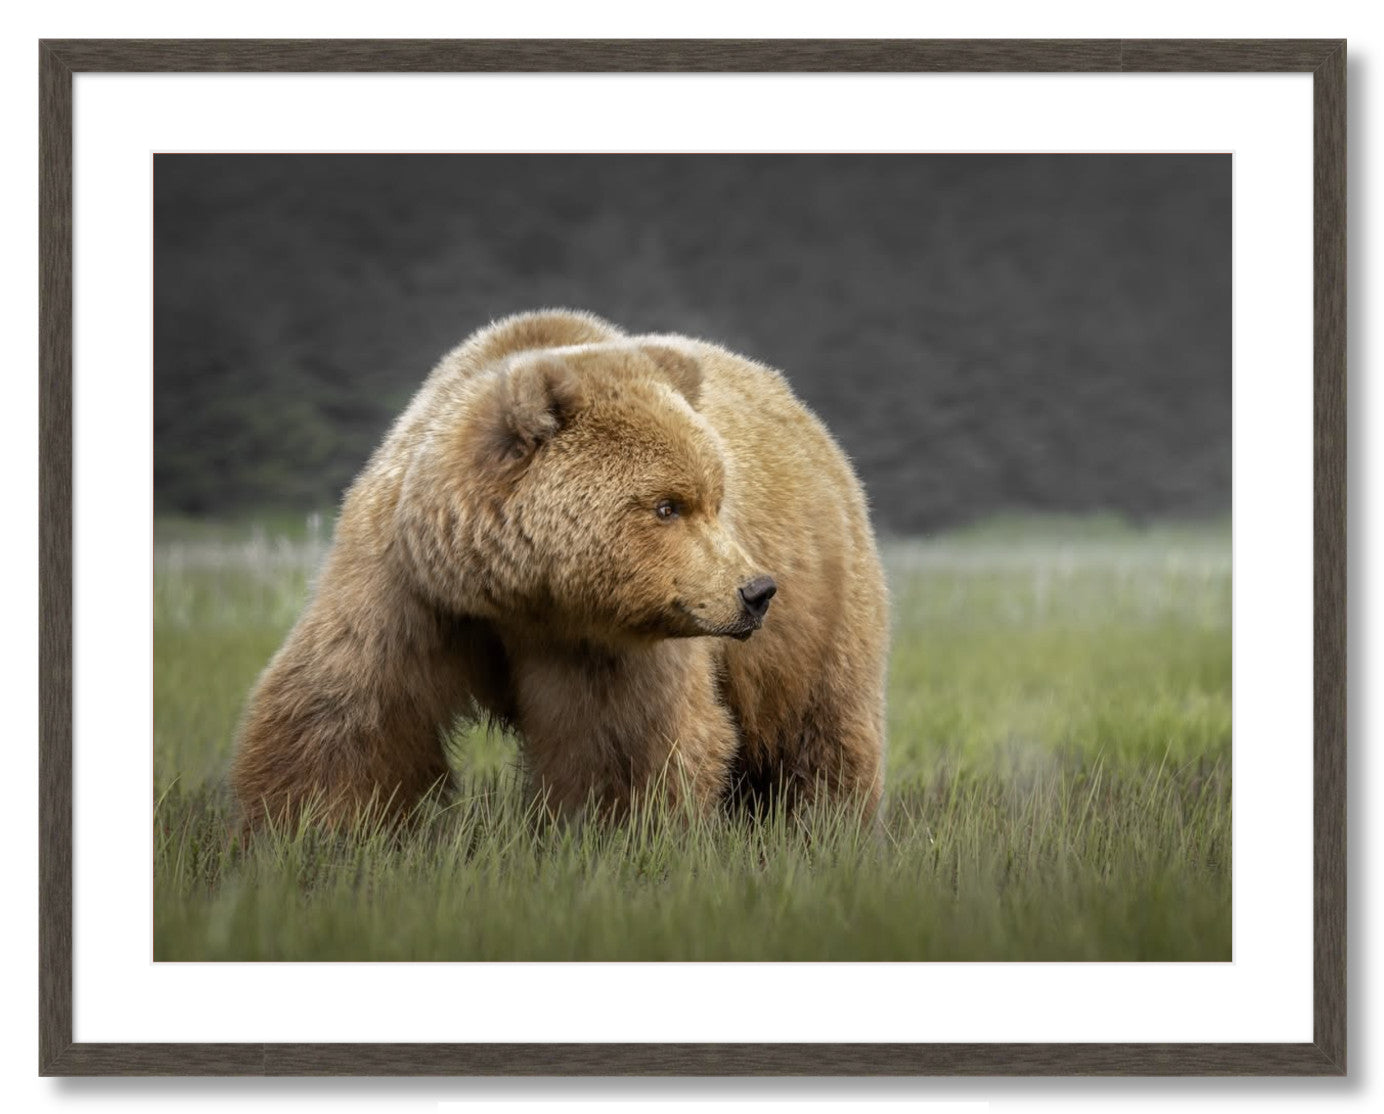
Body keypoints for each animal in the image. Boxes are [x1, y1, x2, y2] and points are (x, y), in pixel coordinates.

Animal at [230, 310, 888, 831]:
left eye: (715, 500)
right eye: (667, 506)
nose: (755, 591)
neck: (514, 593)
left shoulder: (605, 642)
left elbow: (624, 744)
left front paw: (615, 836)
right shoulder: (408, 586)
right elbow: (345, 712)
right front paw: (305, 832)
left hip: (823, 610)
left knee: (821, 730)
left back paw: (825, 826)